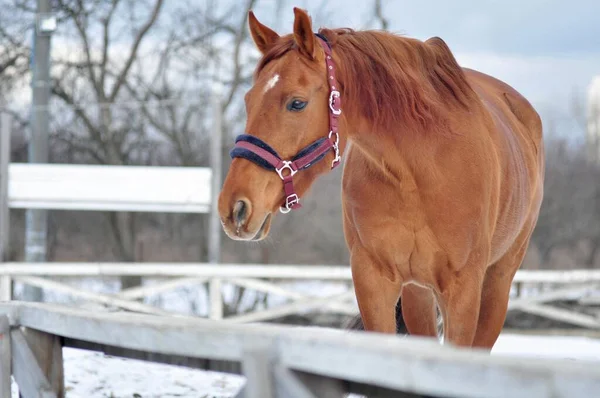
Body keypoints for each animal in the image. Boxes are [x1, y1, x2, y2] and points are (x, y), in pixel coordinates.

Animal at [217, 8, 544, 348]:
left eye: (297, 102)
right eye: (248, 100)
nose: (235, 207)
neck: (416, 176)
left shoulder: (463, 291)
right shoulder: (374, 280)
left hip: (497, 284)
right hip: (418, 295)